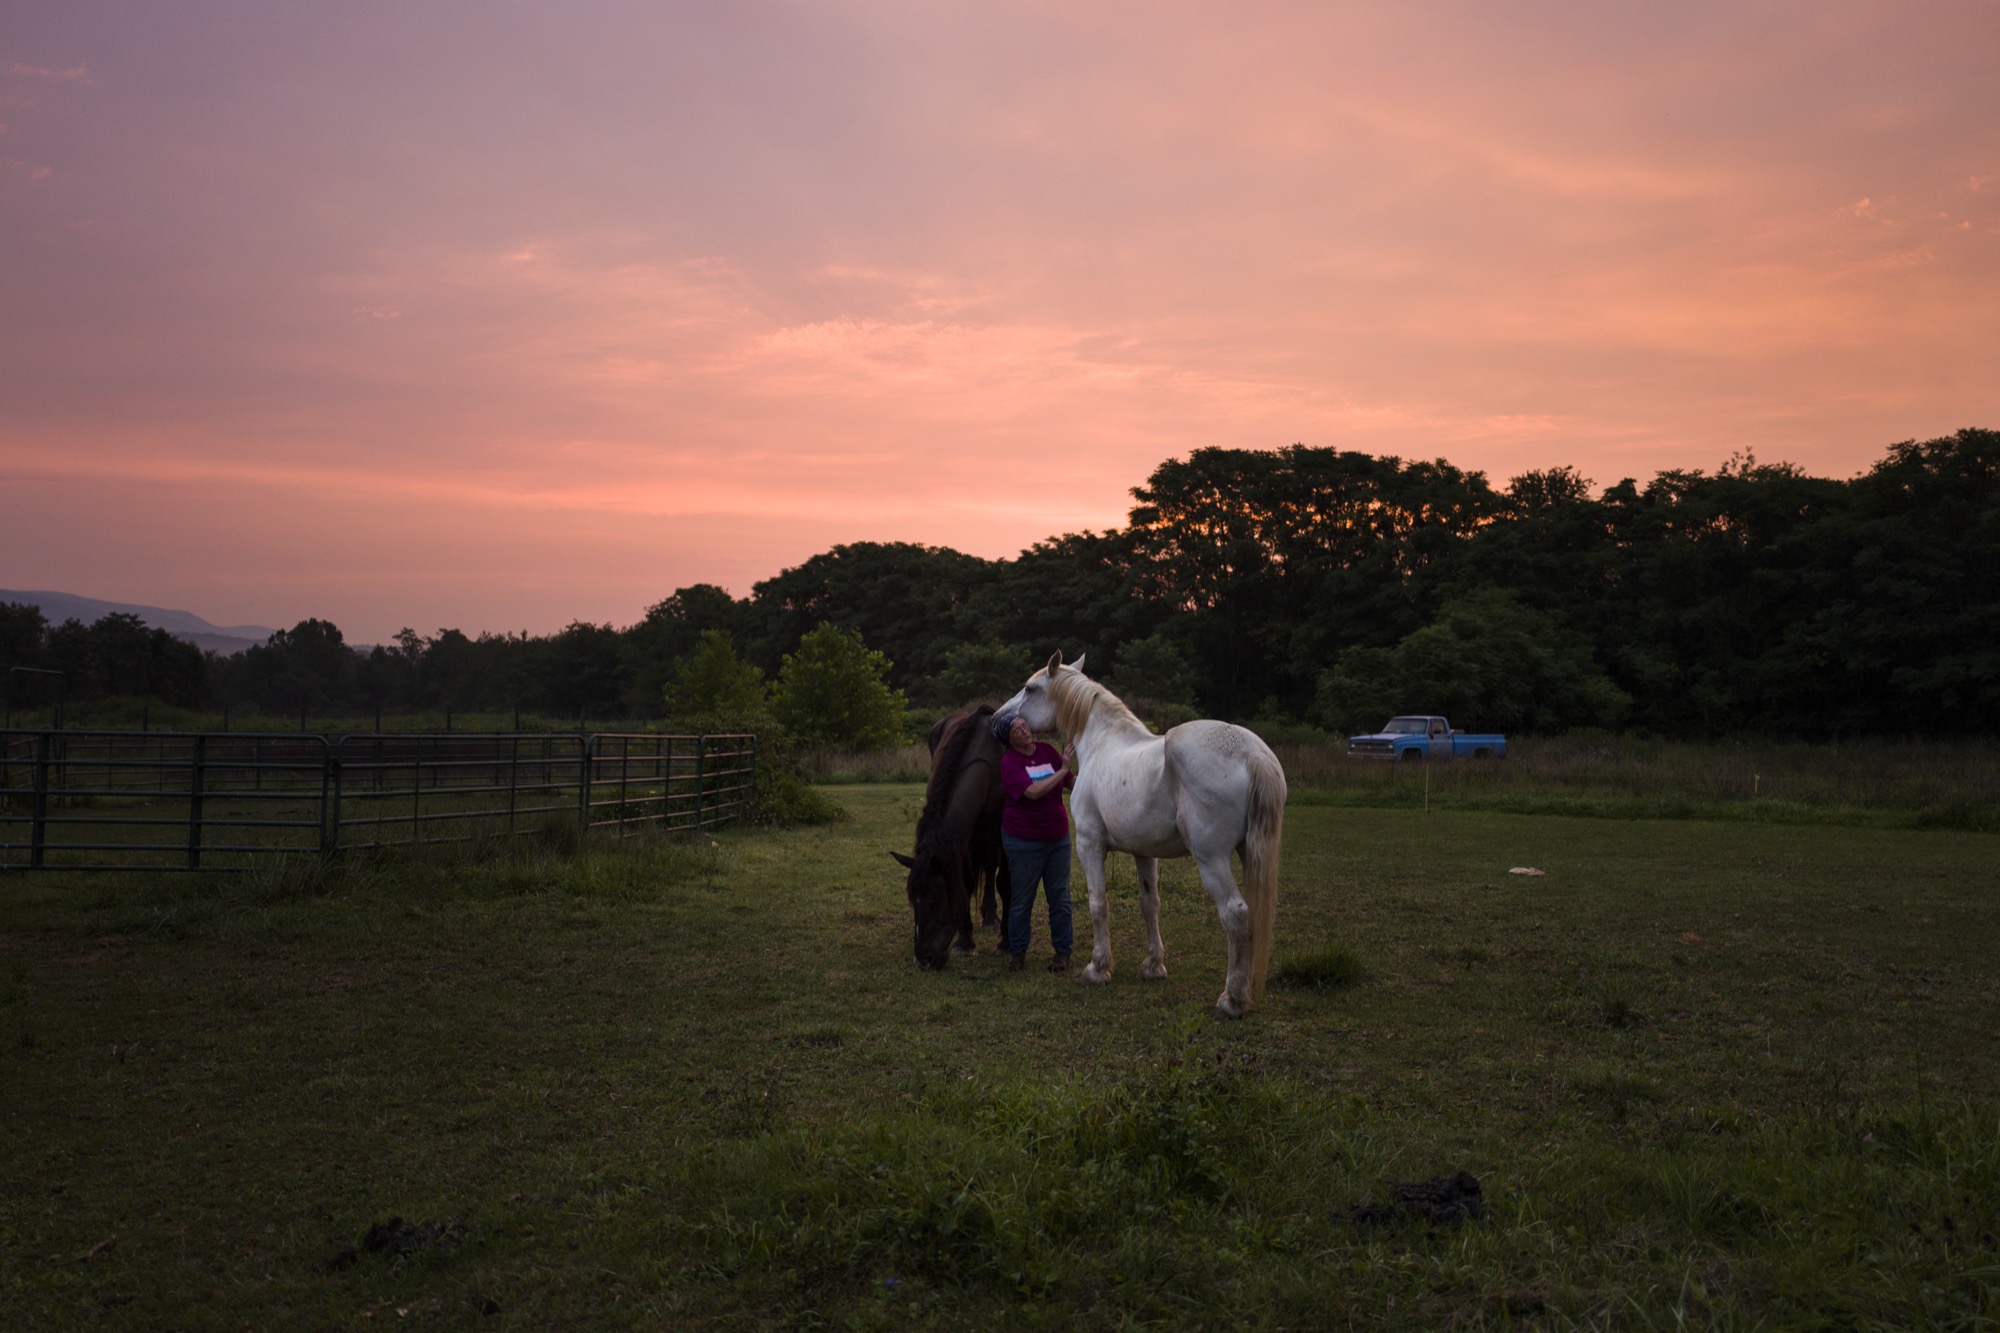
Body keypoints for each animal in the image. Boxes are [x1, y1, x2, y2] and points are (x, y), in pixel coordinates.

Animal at [896, 704, 1016, 964]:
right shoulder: (963, 839)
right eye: (913, 902)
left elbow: (1004, 881)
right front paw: (965, 941)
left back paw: (991, 918)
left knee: (991, 865)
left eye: (934, 902)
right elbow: (966, 881)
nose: (924, 959)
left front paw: (1006, 942)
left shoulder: (1005, 831)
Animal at [1000, 648, 1296, 1012]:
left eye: (1029, 689)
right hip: (1249, 852)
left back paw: (1232, 999)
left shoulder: (1089, 845)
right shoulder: (1144, 853)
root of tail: (1251, 753)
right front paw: (1153, 965)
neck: (1103, 744)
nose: (1001, 721)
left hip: (1211, 858)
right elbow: (1149, 904)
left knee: (1235, 913)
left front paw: (1097, 968)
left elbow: (1098, 903)